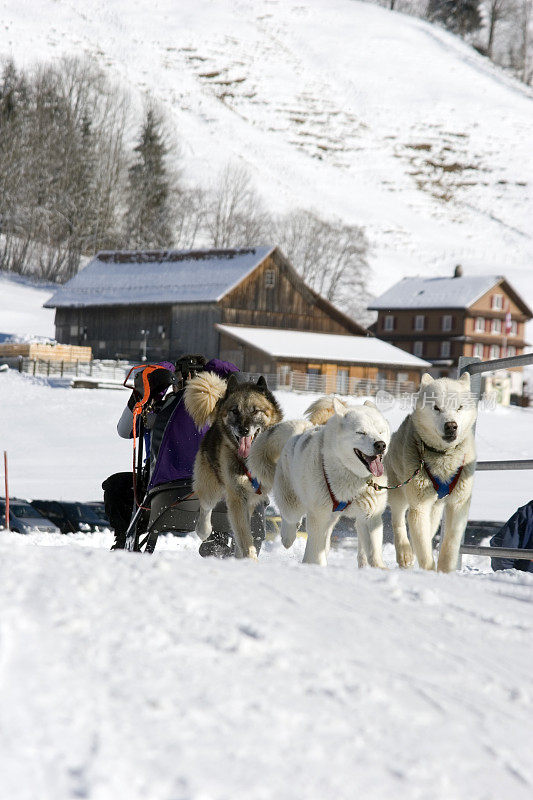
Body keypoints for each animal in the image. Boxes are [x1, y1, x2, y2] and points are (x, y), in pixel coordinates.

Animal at [247, 396, 388, 564]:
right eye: (361, 432)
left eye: (380, 431)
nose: (381, 445)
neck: (351, 477)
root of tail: (304, 429)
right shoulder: (319, 516)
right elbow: (316, 551)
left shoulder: (370, 517)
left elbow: (374, 552)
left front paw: (379, 567)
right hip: (293, 504)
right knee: (290, 519)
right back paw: (288, 537)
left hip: (331, 517)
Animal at [384, 372, 476, 572]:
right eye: (436, 407)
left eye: (459, 407)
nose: (451, 425)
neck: (443, 456)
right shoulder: (419, 507)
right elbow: (424, 551)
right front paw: (429, 573)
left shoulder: (458, 504)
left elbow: (450, 542)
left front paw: (445, 571)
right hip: (399, 493)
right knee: (399, 521)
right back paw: (404, 554)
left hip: (435, 508)